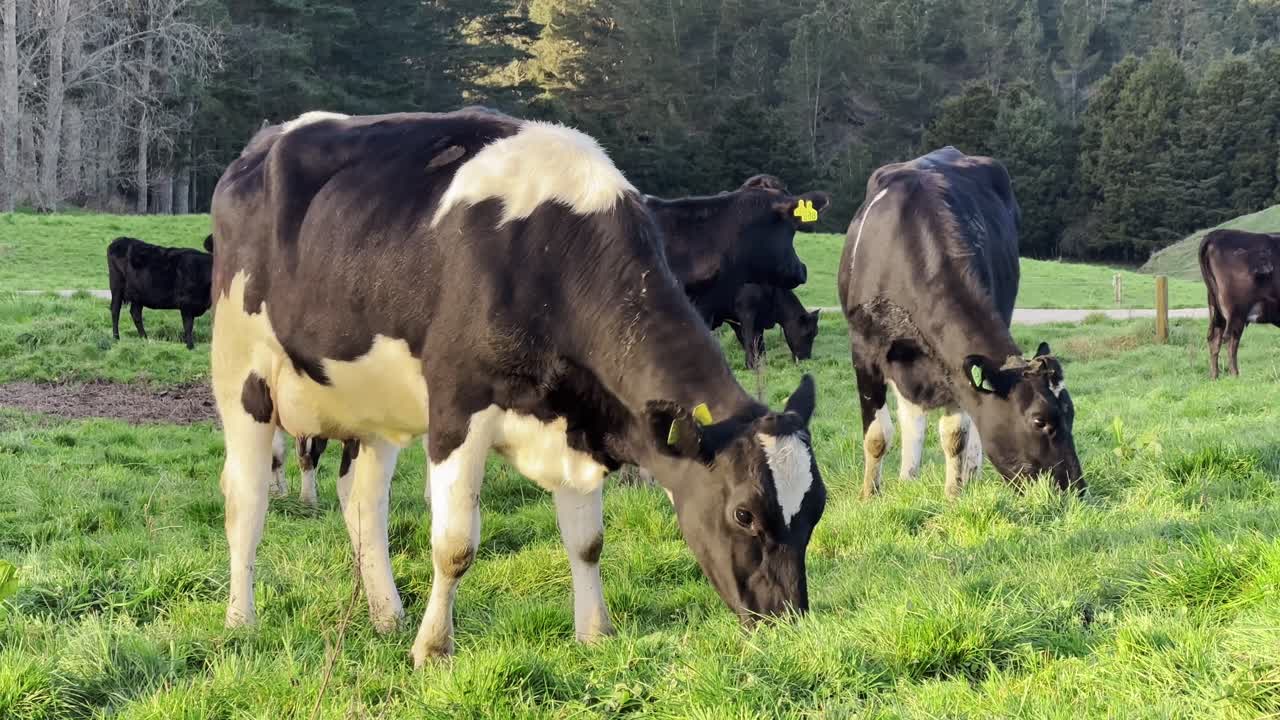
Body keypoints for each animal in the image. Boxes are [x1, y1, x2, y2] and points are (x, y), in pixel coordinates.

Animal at [209, 108, 827, 666]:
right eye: (743, 514)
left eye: (817, 507)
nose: (786, 617)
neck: (550, 257)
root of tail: (259, 146)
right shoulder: (458, 407)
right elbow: (454, 545)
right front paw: (433, 650)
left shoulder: (578, 421)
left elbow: (587, 541)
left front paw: (594, 633)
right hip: (240, 373)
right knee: (245, 499)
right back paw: (241, 620)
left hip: (371, 402)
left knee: (364, 506)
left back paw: (387, 616)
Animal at [838, 147, 1083, 500]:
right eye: (1039, 421)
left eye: (1071, 413)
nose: (1075, 488)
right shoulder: (864, 350)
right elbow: (877, 435)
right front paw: (870, 495)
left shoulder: (953, 363)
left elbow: (956, 435)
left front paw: (953, 494)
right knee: (911, 416)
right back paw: (907, 477)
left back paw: (969, 474)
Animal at [1201, 228, 1280, 379]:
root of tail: (1216, 233)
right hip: (1236, 310)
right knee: (1231, 341)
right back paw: (1235, 375)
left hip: (1216, 308)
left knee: (1215, 338)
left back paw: (1214, 376)